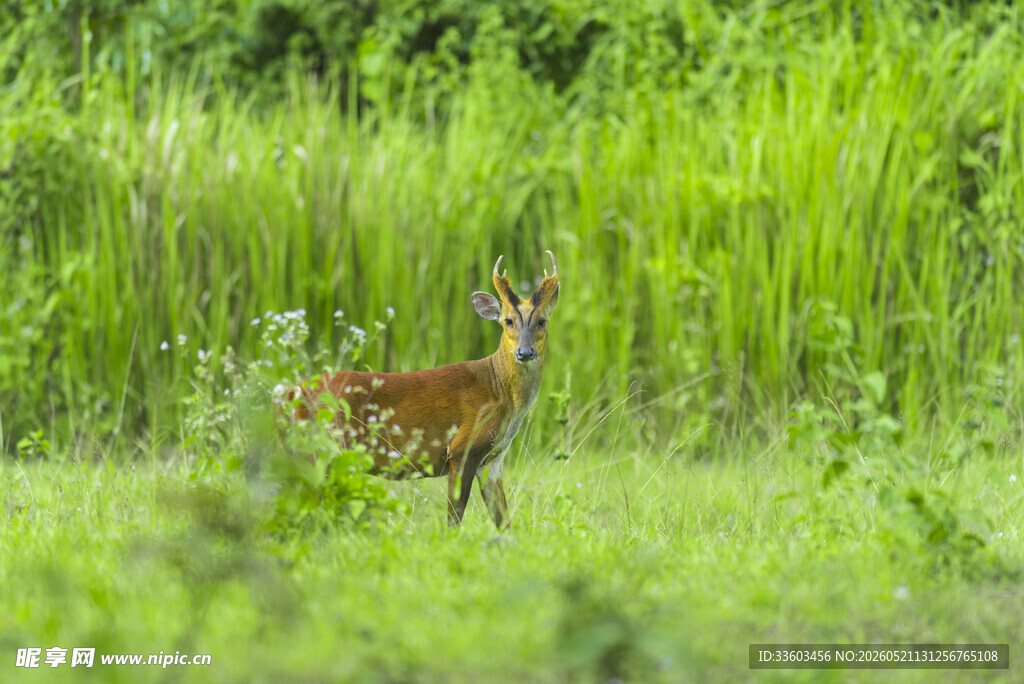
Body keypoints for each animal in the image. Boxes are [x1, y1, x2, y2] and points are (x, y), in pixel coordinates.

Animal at [286, 251, 560, 529]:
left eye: (542, 321)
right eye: (508, 321)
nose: (525, 352)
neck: (499, 390)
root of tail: (292, 393)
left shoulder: (494, 459)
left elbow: (503, 521)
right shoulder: (463, 446)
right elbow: (454, 517)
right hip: (326, 444)